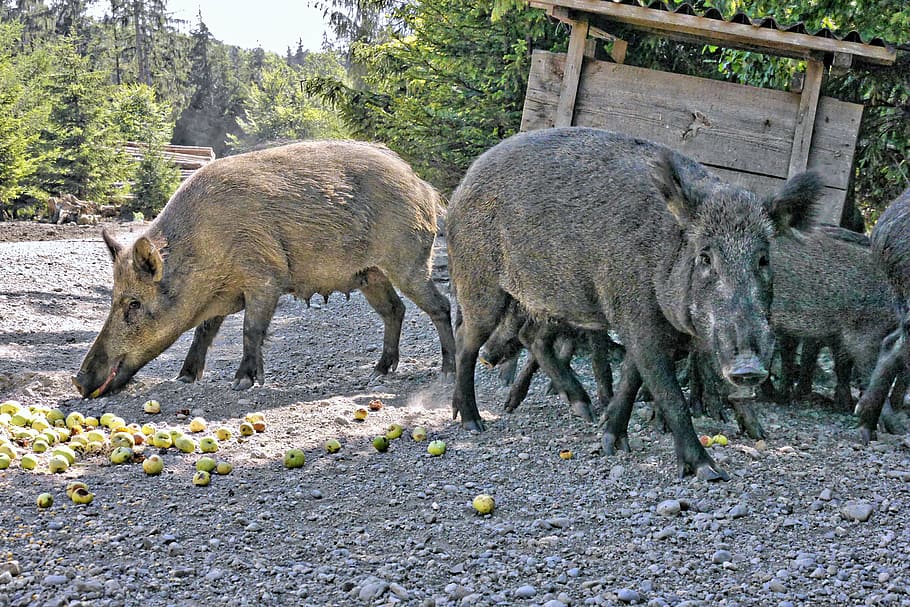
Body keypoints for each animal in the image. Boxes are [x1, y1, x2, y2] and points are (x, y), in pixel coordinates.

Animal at [72, 140, 455, 398]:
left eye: (134, 303)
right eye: (113, 299)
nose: (78, 380)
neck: (205, 250)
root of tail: (423, 187)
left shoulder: (265, 277)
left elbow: (250, 329)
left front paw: (242, 382)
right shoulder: (222, 295)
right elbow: (203, 332)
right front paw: (184, 378)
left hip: (408, 260)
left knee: (440, 305)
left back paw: (446, 373)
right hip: (369, 274)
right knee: (395, 309)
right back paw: (379, 372)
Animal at [446, 127, 821, 480]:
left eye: (763, 259)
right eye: (705, 257)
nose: (748, 368)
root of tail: (462, 185)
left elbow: (633, 378)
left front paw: (611, 441)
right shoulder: (637, 315)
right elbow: (669, 393)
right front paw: (709, 471)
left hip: (545, 298)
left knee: (532, 338)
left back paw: (582, 410)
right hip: (480, 281)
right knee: (468, 341)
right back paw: (473, 423)